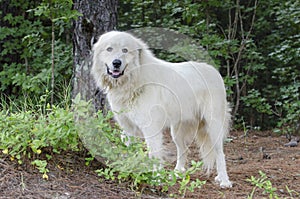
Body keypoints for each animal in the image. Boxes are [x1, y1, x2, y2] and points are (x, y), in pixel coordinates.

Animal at [91, 31, 232, 188]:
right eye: (109, 49)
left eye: (125, 50)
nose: (116, 63)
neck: (135, 80)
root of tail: (215, 71)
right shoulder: (127, 128)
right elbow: (127, 150)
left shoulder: (151, 129)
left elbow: (154, 155)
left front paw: (156, 179)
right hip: (176, 132)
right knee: (183, 150)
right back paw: (177, 173)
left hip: (213, 126)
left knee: (220, 153)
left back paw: (224, 180)